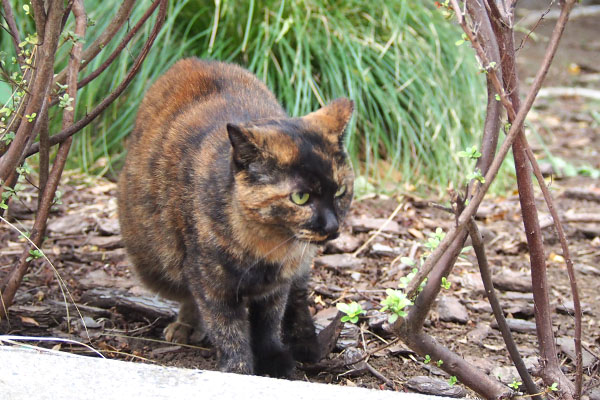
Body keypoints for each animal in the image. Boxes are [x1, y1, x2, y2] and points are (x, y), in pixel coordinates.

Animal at [117, 57, 354, 376]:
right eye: (301, 197)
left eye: (340, 190)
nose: (332, 225)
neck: (267, 247)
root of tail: (192, 60)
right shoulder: (212, 284)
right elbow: (227, 330)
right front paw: (238, 369)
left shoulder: (276, 287)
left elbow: (269, 324)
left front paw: (276, 362)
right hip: (155, 264)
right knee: (188, 295)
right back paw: (185, 326)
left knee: (298, 296)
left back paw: (306, 344)